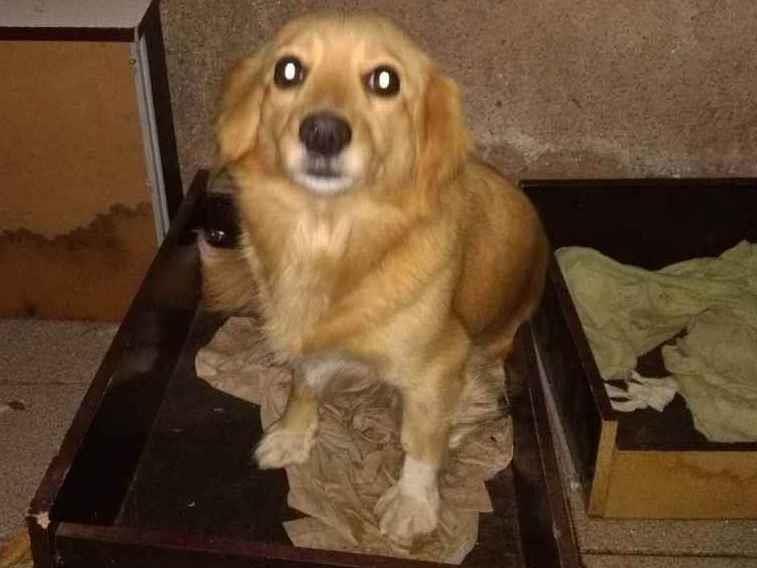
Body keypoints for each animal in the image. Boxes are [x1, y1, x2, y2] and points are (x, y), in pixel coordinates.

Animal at [200, 11, 548, 546]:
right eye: (287, 71)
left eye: (385, 81)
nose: (323, 132)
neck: (330, 238)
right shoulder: (307, 338)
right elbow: (304, 382)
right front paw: (294, 433)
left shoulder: (438, 367)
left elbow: (421, 441)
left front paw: (414, 502)